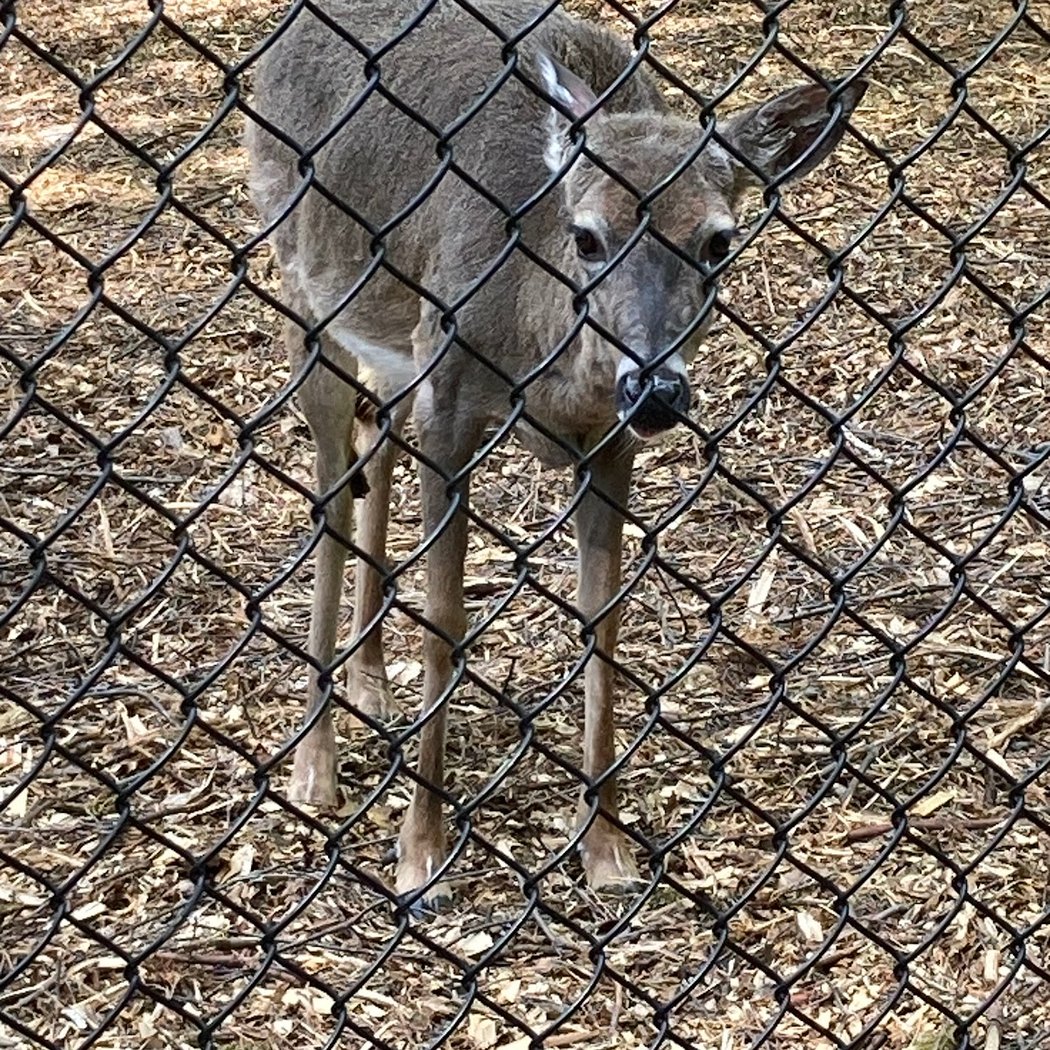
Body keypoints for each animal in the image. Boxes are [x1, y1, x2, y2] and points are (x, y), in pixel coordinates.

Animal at [246, 0, 866, 910]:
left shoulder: (602, 441)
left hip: (394, 342)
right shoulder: (452, 397)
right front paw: (421, 856)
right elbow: (447, 621)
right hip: (305, 284)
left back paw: (369, 682)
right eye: (587, 235)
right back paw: (315, 764)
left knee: (371, 437)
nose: (656, 389)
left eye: (718, 241)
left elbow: (603, 617)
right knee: (329, 480)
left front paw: (605, 846)